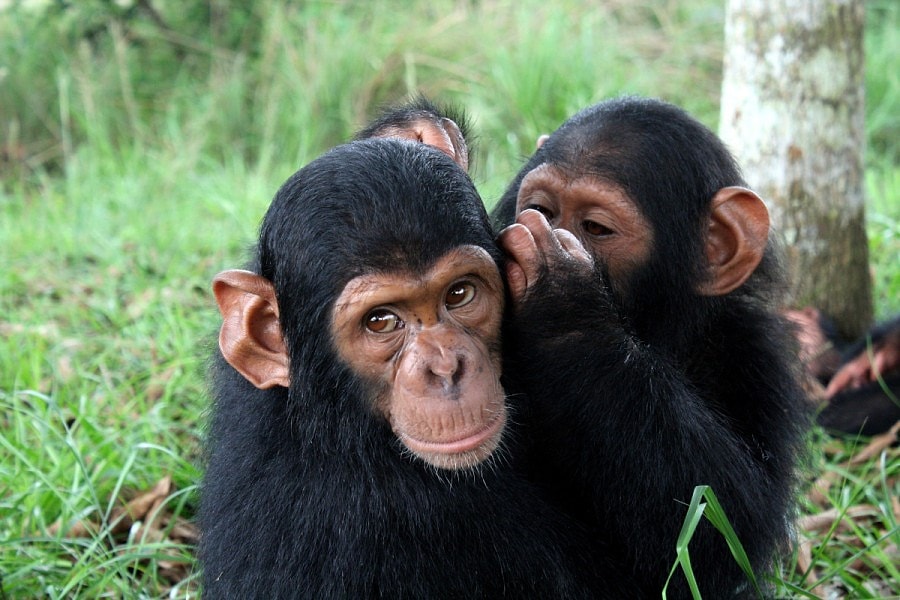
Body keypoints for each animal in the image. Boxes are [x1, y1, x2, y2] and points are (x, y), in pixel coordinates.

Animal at [492, 96, 808, 596]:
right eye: (542, 207)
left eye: (596, 228)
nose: (536, 226)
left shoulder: (757, 362)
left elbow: (722, 530)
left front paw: (560, 295)